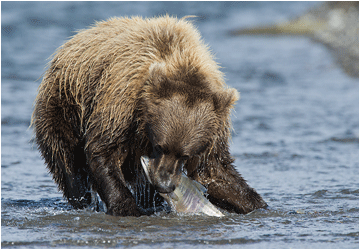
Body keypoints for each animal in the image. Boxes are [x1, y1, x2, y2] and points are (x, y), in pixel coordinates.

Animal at [31, 15, 268, 216]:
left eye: (186, 155)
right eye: (160, 146)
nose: (164, 184)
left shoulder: (216, 128)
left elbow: (214, 171)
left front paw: (258, 204)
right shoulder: (120, 103)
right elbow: (102, 151)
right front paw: (127, 207)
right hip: (63, 105)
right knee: (68, 164)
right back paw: (84, 200)